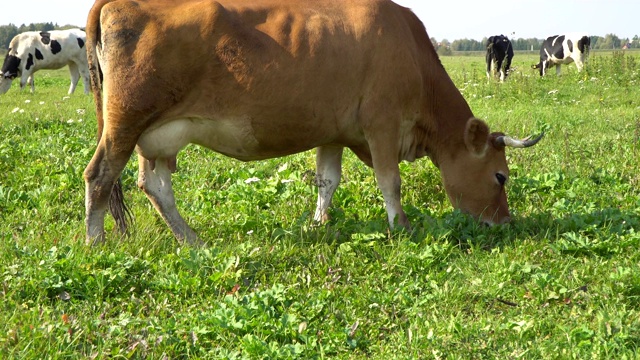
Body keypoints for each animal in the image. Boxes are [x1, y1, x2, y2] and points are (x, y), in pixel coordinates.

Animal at [82, 0, 544, 245]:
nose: (504, 223)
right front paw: (401, 225)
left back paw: (191, 239)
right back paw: (95, 241)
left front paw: (320, 222)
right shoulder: (382, 123)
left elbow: (327, 180)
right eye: (500, 176)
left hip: (156, 135)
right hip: (125, 124)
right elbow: (389, 181)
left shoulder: (334, 131)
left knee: (155, 186)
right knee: (99, 176)